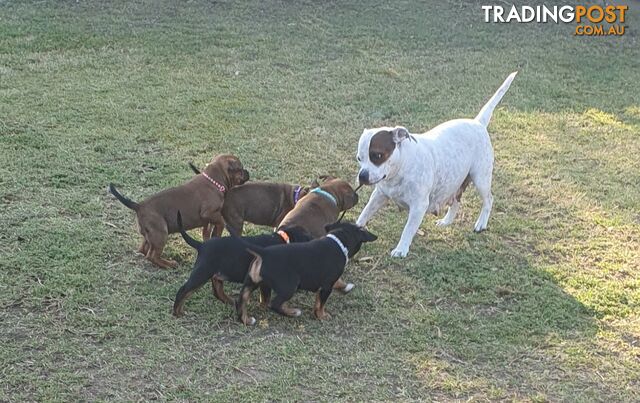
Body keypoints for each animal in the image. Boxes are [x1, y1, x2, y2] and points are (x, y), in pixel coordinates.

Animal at [109, 154, 249, 268]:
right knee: (151, 255)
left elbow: (206, 232)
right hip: (161, 233)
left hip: (150, 233)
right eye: (241, 169)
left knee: (144, 249)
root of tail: (138, 206)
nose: (247, 172)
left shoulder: (206, 220)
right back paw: (168, 264)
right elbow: (220, 222)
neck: (214, 181)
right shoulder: (209, 213)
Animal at [170, 211, 310, 318]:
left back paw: (229, 301)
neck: (284, 239)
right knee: (183, 290)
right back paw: (178, 312)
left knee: (217, 290)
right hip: (202, 272)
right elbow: (266, 296)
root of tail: (201, 245)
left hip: (217, 272)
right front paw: (264, 307)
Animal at [235, 223, 378, 326]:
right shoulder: (327, 285)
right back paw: (293, 312)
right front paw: (322, 316)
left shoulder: (323, 285)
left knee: (241, 301)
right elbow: (322, 303)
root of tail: (264, 253)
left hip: (251, 282)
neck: (338, 241)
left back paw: (246, 320)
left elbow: (318, 301)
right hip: (289, 286)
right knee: (275, 304)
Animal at [358, 72, 516, 258]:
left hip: (481, 178)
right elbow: (364, 213)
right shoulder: (379, 195)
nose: (362, 176)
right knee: (456, 201)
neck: (401, 168)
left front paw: (401, 249)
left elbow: (407, 229)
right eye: (359, 158)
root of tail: (478, 123)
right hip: (457, 182)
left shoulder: (418, 206)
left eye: (377, 155)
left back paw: (481, 223)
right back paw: (447, 221)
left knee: (489, 199)